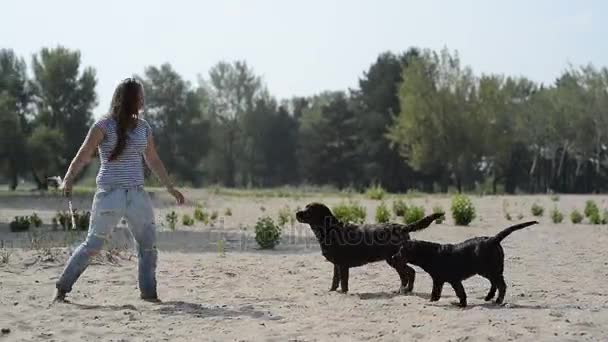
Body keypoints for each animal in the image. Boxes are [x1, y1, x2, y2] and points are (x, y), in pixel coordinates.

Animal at [294, 203, 442, 294]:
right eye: (305, 207)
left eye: (309, 210)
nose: (297, 213)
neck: (330, 230)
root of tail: (402, 227)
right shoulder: (336, 264)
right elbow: (335, 280)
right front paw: (331, 291)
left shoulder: (343, 264)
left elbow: (344, 282)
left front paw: (344, 292)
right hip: (395, 259)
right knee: (410, 273)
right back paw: (406, 290)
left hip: (394, 259)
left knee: (408, 273)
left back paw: (402, 290)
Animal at [390, 222, 536, 308]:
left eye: (401, 251)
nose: (393, 257)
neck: (431, 254)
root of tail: (493, 239)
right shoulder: (448, 280)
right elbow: (457, 292)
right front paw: (460, 303)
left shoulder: (443, 280)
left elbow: (443, 292)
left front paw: (436, 302)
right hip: (489, 271)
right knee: (495, 284)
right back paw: (489, 297)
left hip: (490, 270)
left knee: (501, 285)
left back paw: (498, 301)